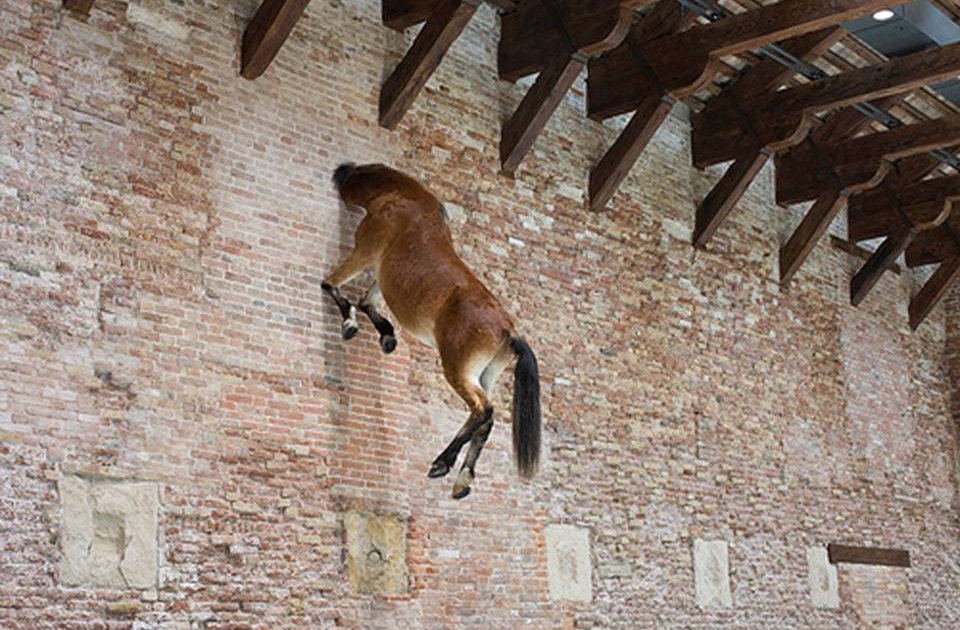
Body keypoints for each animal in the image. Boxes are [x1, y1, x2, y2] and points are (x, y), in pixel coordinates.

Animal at [322, 165, 544, 502]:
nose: (339, 174)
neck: (407, 202)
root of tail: (508, 332)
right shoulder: (382, 277)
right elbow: (366, 303)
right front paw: (386, 336)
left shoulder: (364, 254)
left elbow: (332, 286)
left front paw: (349, 324)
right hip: (485, 375)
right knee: (486, 422)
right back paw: (462, 480)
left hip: (457, 370)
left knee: (482, 410)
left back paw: (443, 462)